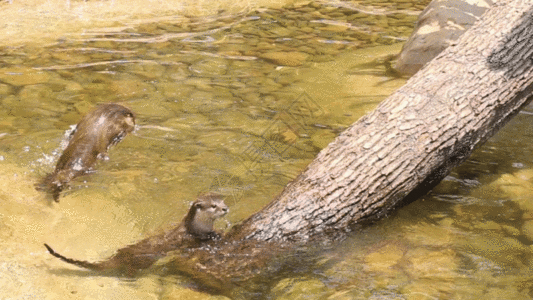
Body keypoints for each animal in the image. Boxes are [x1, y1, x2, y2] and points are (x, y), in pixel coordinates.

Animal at [44, 193, 229, 276]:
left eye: (222, 201)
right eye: (213, 206)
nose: (225, 208)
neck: (196, 226)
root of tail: (119, 255)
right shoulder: (189, 236)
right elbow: (201, 239)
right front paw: (215, 235)